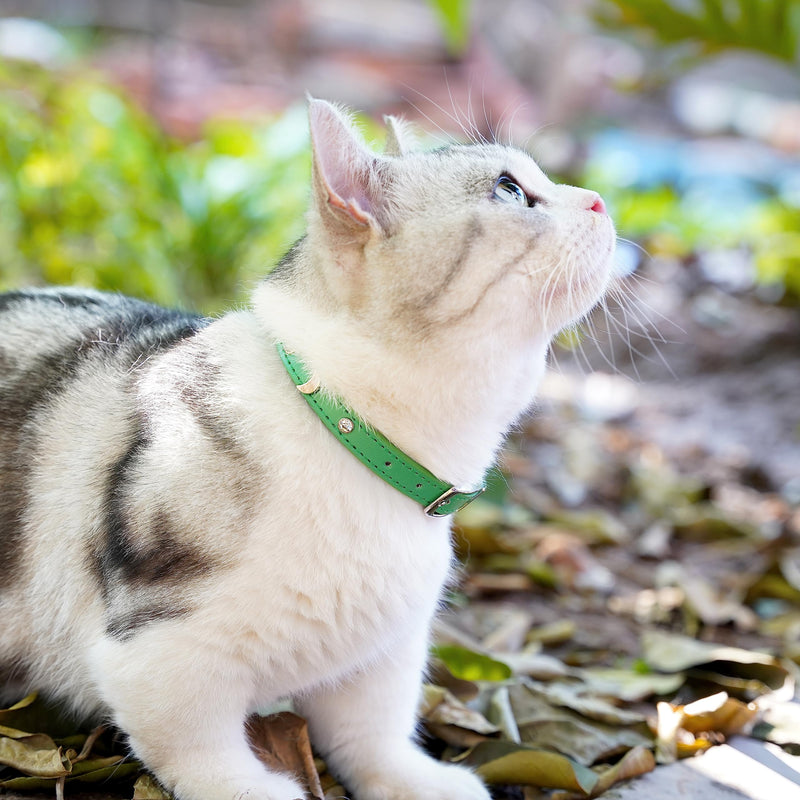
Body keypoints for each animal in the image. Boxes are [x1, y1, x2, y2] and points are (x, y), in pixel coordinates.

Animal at [0, 100, 612, 800]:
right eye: (510, 190)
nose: (599, 201)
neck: (359, 444)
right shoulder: (158, 651)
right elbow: (199, 746)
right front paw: (254, 788)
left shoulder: (385, 650)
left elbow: (372, 733)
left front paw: (411, 779)